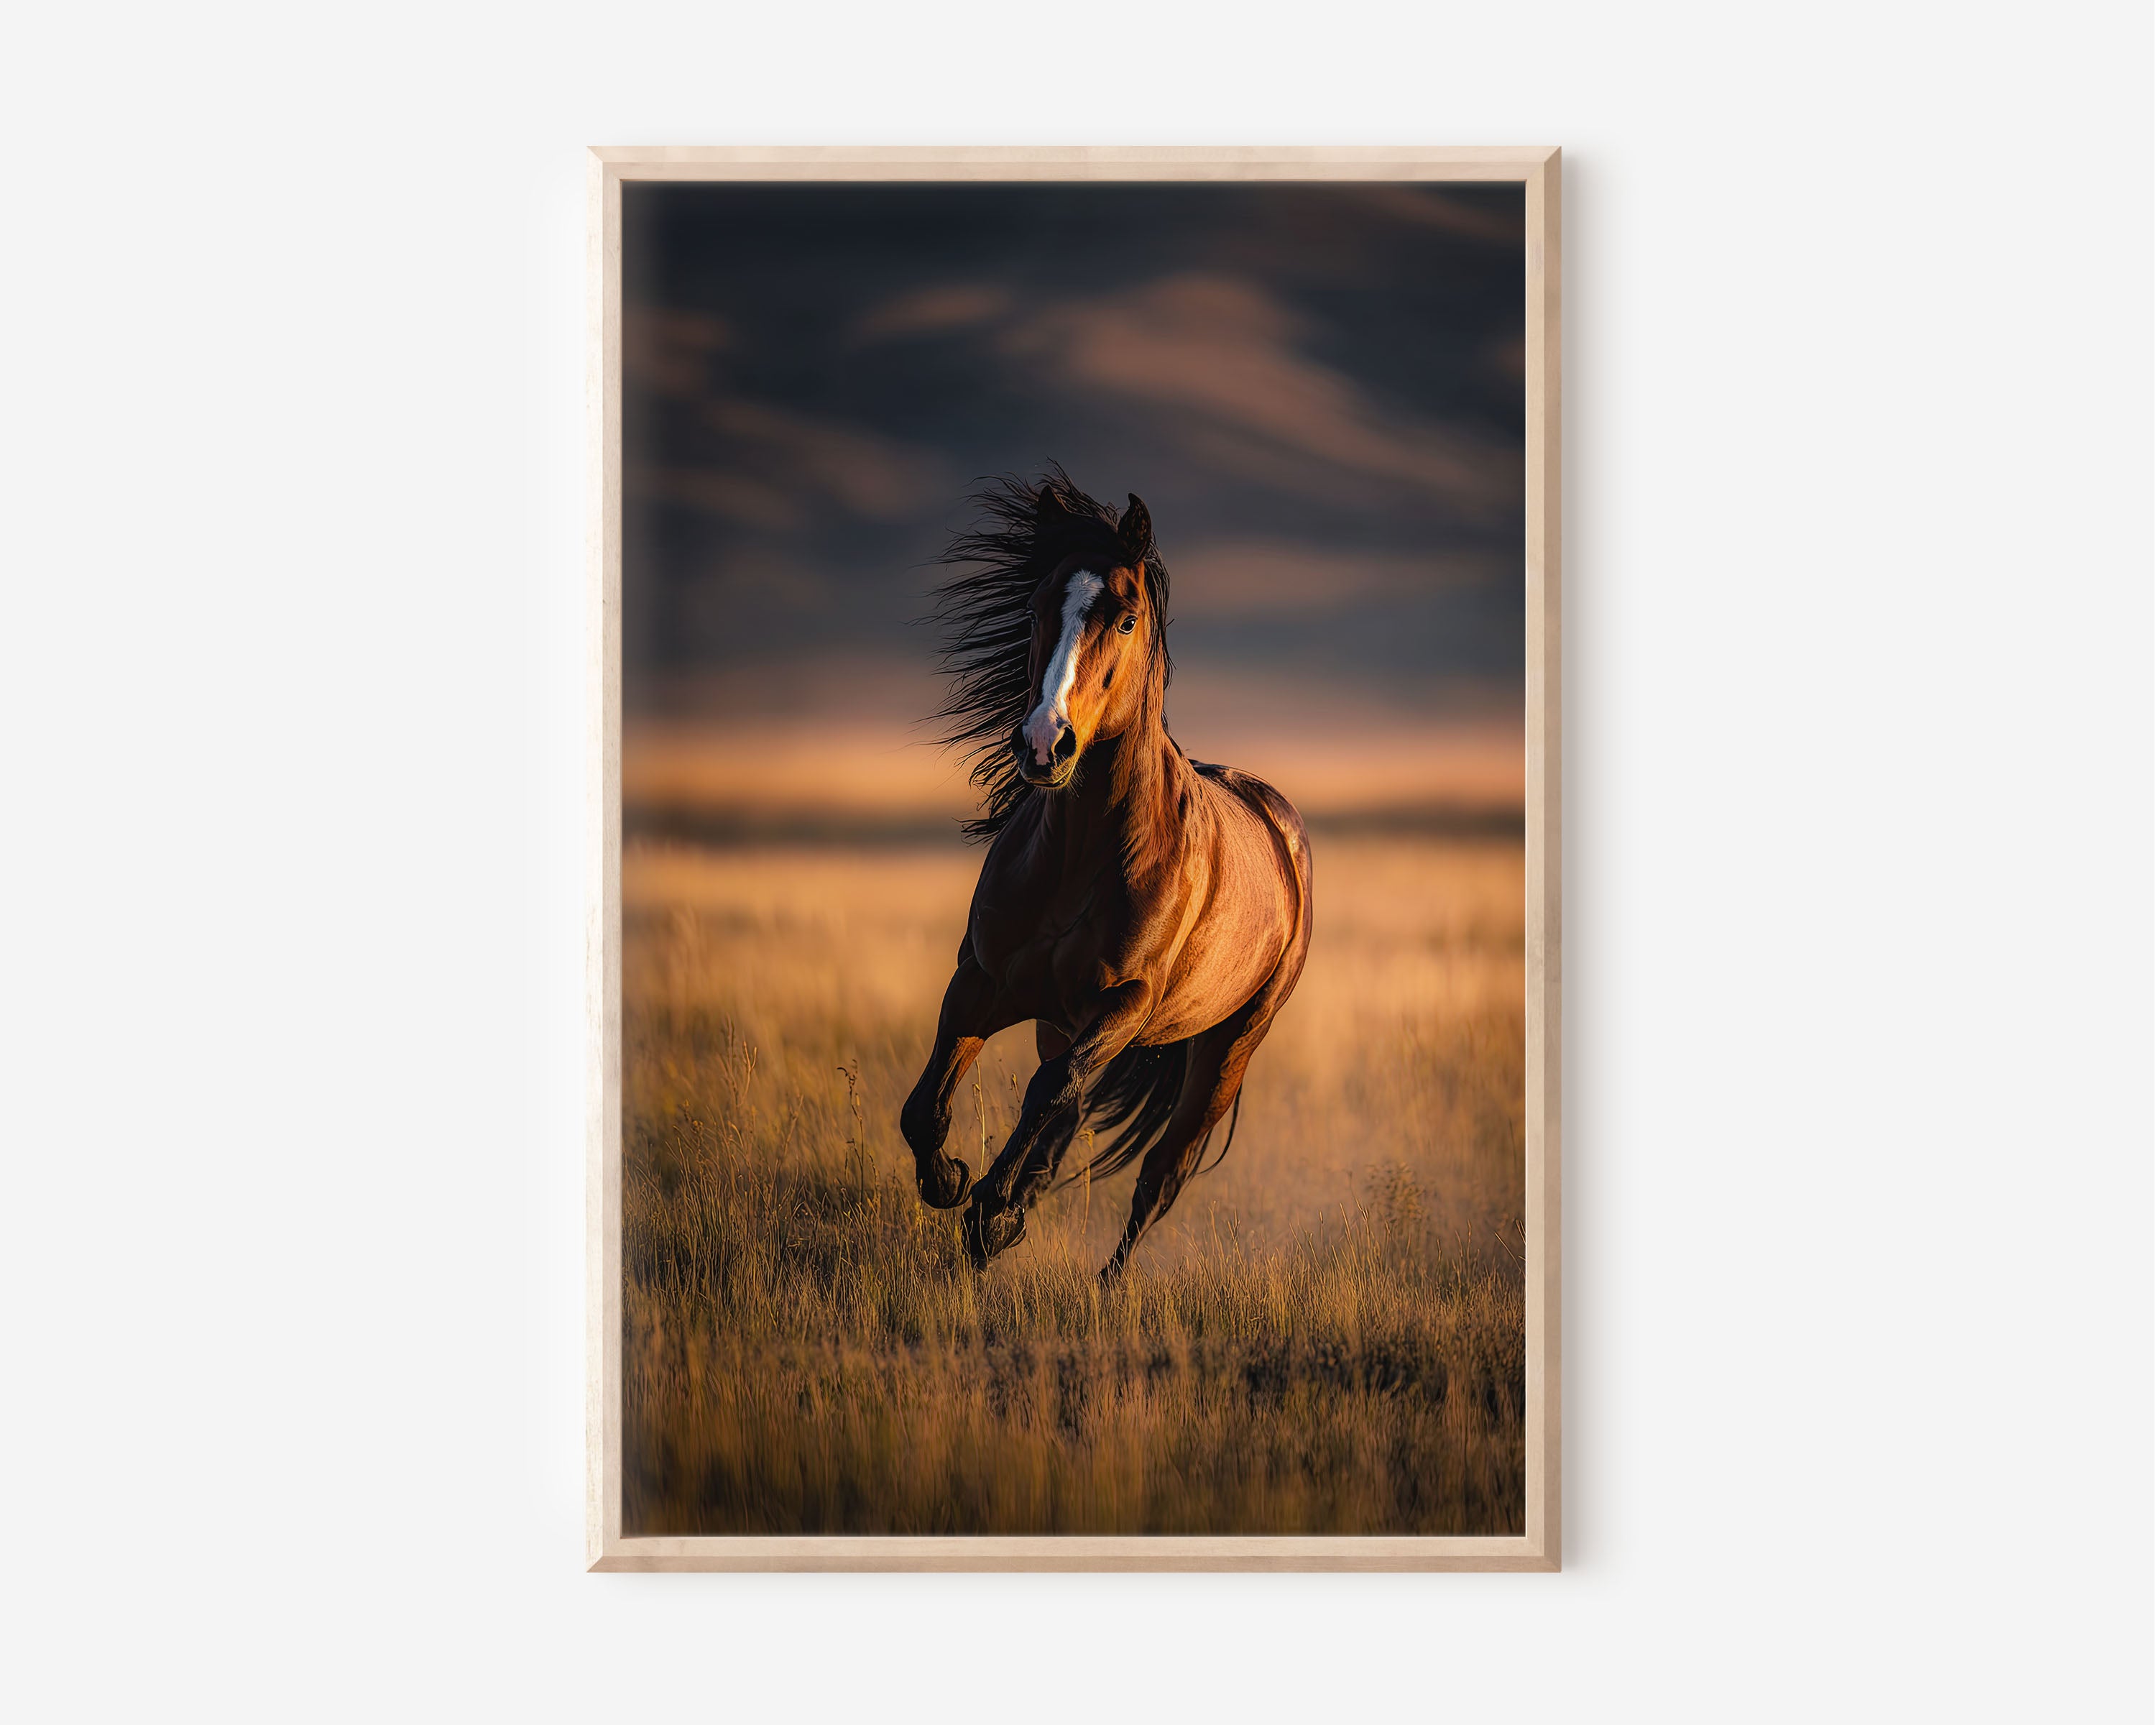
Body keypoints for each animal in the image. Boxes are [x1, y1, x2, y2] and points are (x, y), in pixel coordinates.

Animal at [899, 470, 1315, 1277]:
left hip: (1227, 1049)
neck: (1081, 857)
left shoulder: (1126, 1004)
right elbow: (927, 1106)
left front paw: (988, 1207)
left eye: (1125, 620)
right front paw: (957, 1186)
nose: (1044, 745)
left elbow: (1049, 1094)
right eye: (1035, 608)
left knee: (1159, 1176)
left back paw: (1102, 1284)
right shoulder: (982, 980)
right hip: (1059, 1021)